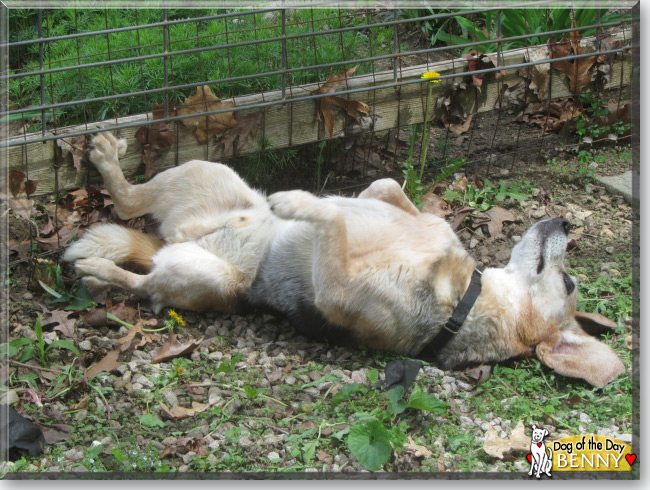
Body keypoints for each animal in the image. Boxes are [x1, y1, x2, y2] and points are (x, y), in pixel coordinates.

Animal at [62, 133, 624, 386]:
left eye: (569, 283)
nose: (566, 224)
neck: (467, 294)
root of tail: (175, 239)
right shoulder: (406, 209)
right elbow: (388, 189)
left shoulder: (338, 289)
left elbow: (331, 219)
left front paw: (298, 203)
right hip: (207, 172)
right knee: (132, 201)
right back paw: (109, 159)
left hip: (206, 276)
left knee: (143, 278)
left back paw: (100, 271)